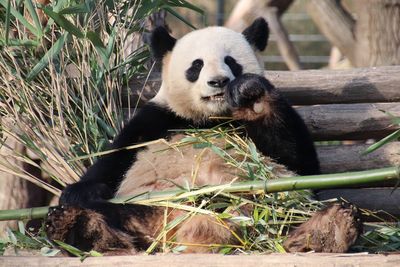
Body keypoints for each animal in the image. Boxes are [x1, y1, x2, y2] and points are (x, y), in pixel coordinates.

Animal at [45, 18, 360, 255]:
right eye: (196, 66)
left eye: (231, 62)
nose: (218, 82)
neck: (210, 119)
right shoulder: (156, 120)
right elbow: (112, 161)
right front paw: (80, 190)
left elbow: (299, 164)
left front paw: (250, 96)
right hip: (150, 205)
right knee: (115, 213)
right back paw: (83, 230)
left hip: (268, 212)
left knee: (291, 215)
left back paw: (327, 230)